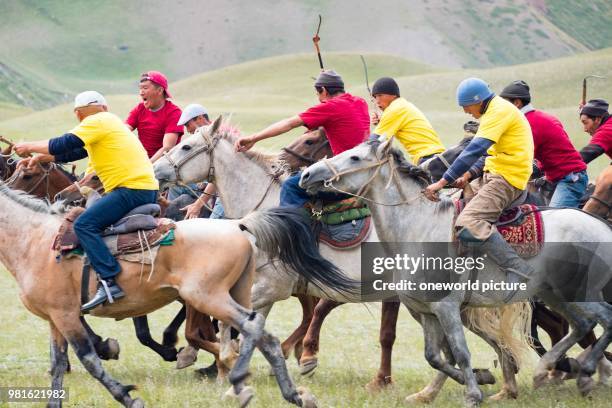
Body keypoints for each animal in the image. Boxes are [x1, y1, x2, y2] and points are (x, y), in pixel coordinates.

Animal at [153, 117, 536, 402]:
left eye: (186, 146)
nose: (156, 171)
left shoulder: (271, 288)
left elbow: (236, 327)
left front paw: (227, 366)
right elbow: (244, 329)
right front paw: (231, 370)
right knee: (480, 340)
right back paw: (497, 383)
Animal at [298, 137, 612, 404]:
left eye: (354, 157)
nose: (306, 176)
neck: (418, 229)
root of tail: (599, 223)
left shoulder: (446, 307)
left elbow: (459, 352)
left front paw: (473, 393)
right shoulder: (425, 311)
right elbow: (435, 356)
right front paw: (480, 378)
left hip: (579, 293)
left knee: (604, 320)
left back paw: (584, 370)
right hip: (556, 295)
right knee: (582, 324)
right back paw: (552, 369)